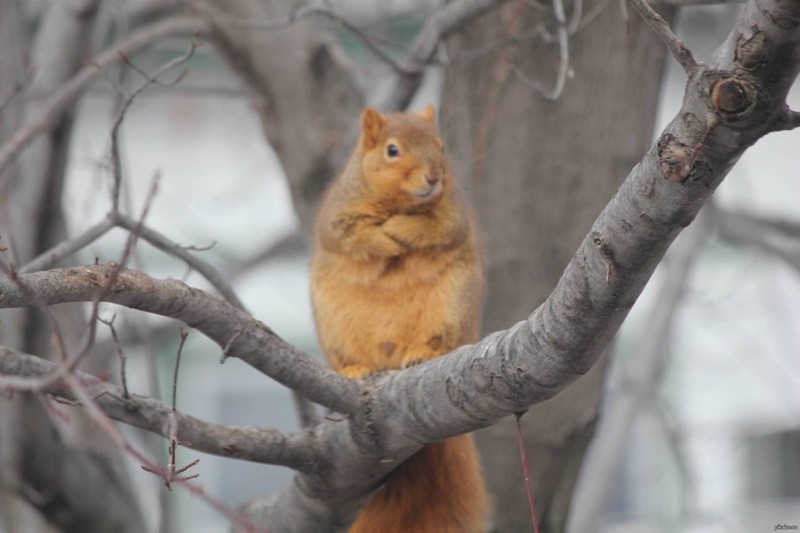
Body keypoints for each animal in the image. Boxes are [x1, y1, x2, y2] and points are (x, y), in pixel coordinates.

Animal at [310, 105, 488, 532]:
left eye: (441, 146)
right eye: (392, 150)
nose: (434, 178)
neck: (398, 202)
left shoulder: (451, 215)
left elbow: (434, 227)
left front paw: (399, 228)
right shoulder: (338, 216)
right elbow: (353, 236)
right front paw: (383, 235)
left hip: (451, 310)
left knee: (437, 341)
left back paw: (421, 353)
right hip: (333, 327)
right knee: (350, 359)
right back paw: (355, 369)